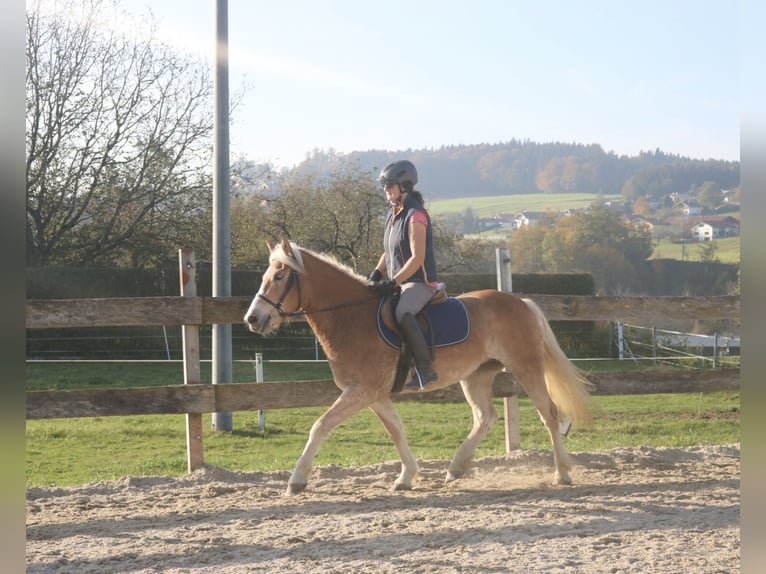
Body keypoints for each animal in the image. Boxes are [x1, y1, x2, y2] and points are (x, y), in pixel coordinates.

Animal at [246, 241, 592, 498]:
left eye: (279, 278)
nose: (253, 318)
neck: (351, 317)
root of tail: (521, 302)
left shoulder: (361, 391)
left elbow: (320, 426)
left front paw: (297, 480)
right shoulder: (373, 394)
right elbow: (397, 431)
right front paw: (406, 477)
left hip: (526, 367)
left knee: (548, 413)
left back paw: (562, 473)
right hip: (476, 376)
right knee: (485, 417)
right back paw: (456, 467)